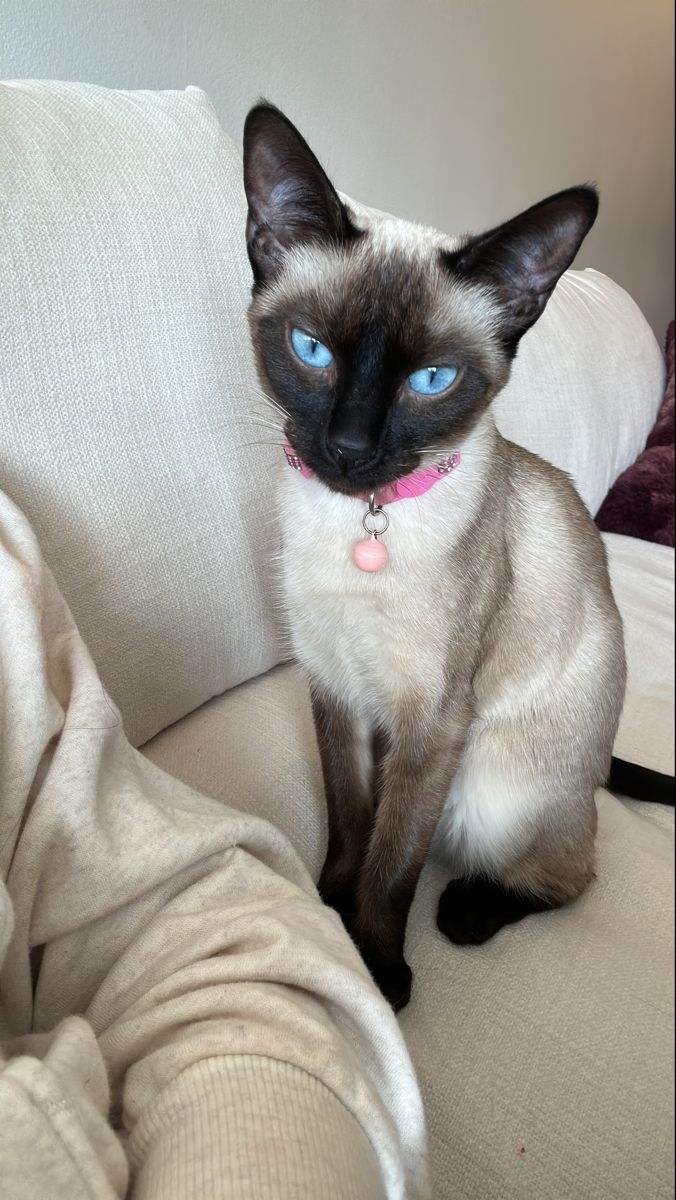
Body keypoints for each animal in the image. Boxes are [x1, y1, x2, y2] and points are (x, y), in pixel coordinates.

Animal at [240, 103, 633, 1008]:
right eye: (312, 350)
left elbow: (392, 870)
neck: (357, 525)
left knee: (569, 874)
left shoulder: (432, 721)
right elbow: (353, 830)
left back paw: (468, 912)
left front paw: (378, 974)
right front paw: (329, 913)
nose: (349, 449)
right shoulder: (336, 690)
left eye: (431, 380)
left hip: (492, 788)